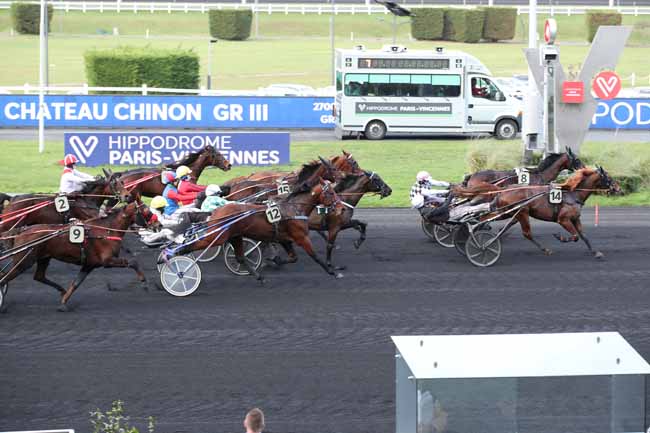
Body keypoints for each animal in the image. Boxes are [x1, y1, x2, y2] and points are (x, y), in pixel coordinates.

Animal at [0, 199, 157, 312]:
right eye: (146, 211)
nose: (157, 224)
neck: (107, 230)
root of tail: (22, 231)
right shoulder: (107, 261)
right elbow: (133, 262)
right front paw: (144, 283)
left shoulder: (89, 264)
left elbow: (76, 283)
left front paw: (63, 303)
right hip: (24, 261)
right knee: (5, 278)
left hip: (43, 258)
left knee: (39, 276)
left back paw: (61, 290)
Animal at [163, 178, 346, 281]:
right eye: (330, 193)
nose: (341, 208)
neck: (293, 208)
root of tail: (215, 212)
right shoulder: (301, 237)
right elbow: (315, 257)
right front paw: (332, 272)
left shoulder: (284, 238)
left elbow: (292, 258)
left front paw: (272, 261)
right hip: (217, 236)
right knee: (191, 246)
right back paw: (172, 260)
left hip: (234, 236)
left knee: (240, 257)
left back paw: (258, 276)